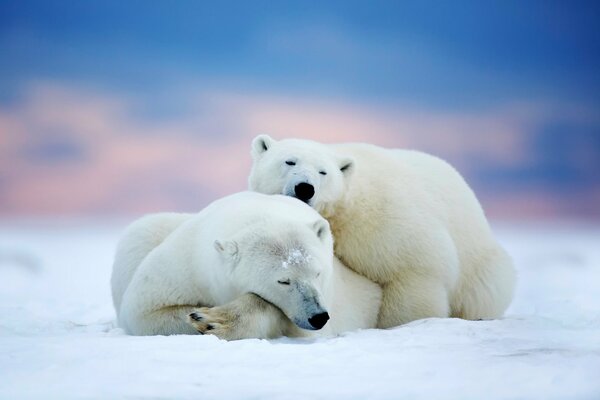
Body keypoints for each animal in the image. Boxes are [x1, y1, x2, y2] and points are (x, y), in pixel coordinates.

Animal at [111, 192, 380, 340]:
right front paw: (202, 316)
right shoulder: (186, 264)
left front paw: (213, 320)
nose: (318, 316)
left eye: (318, 273)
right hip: (144, 234)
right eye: (284, 280)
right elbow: (146, 311)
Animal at [248, 134, 516, 328]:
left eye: (323, 171)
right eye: (289, 161)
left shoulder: (384, 223)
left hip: (479, 265)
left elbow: (414, 270)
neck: (346, 209)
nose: (305, 188)